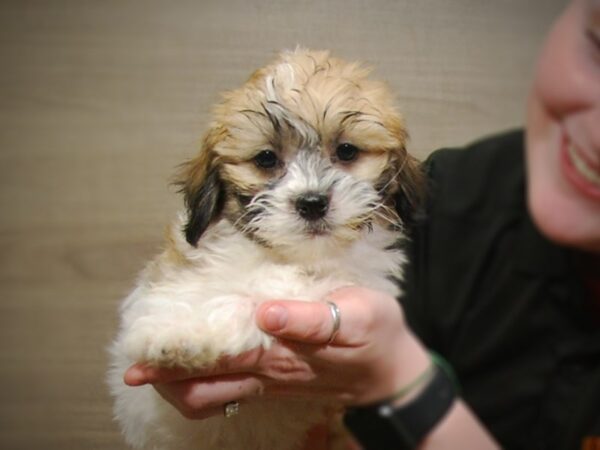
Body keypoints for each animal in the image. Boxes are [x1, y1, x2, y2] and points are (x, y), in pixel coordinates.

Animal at [110, 49, 424, 450]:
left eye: (346, 151)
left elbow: (265, 294)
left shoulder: (359, 280)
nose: (312, 202)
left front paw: (192, 334)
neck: (286, 255)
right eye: (265, 159)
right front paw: (174, 331)